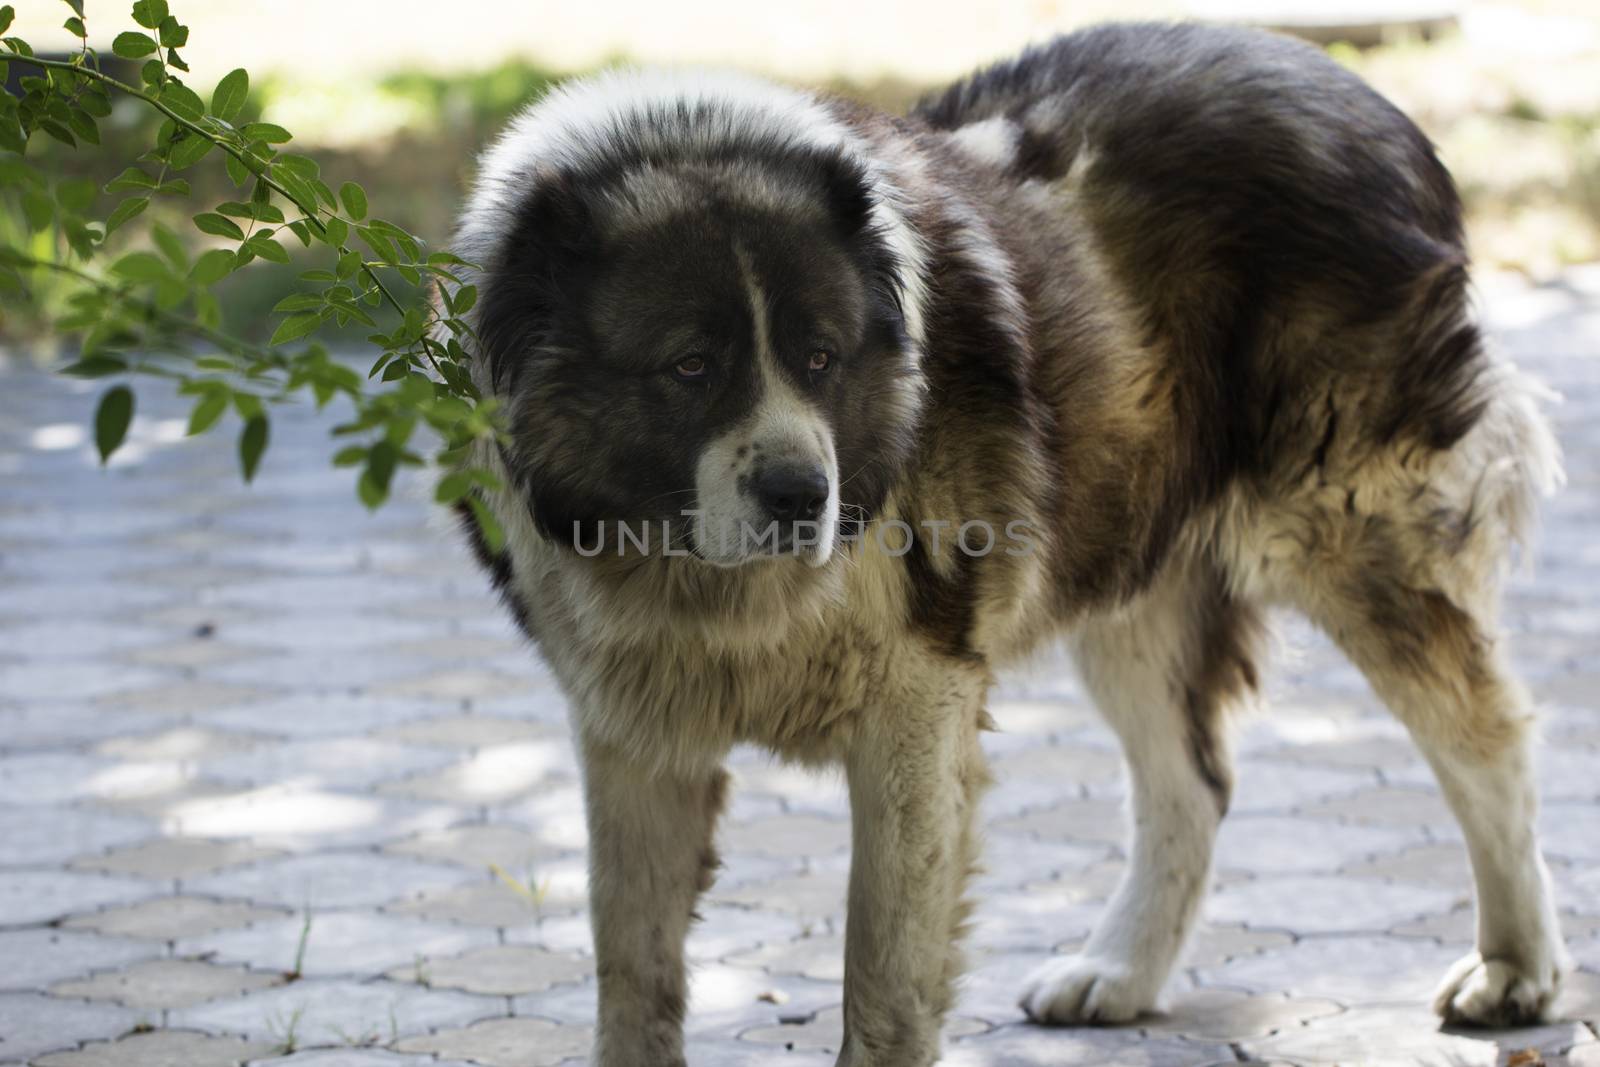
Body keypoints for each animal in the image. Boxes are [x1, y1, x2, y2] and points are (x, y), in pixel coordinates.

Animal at [444, 24, 1568, 1067]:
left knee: (1485, 739)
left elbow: (883, 971)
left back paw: (1515, 969)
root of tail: (1353, 89)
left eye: (820, 357)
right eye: (689, 366)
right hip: (1131, 580)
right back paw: (1120, 971)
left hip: (1348, 534)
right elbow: (632, 969)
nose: (804, 495)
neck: (701, 578)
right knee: (1191, 783)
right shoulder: (632, 733)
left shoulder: (914, 702)